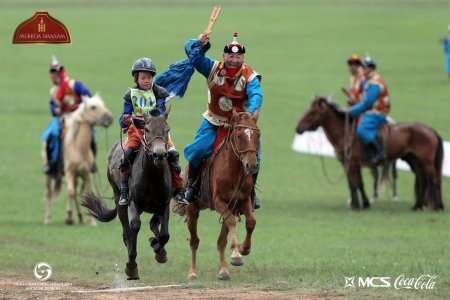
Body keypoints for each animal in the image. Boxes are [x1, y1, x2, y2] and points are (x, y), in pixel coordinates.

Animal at [43, 94, 114, 225]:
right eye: (93, 107)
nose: (109, 118)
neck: (79, 148)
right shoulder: (69, 172)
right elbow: (71, 193)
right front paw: (69, 217)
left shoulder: (87, 174)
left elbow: (85, 194)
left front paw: (92, 221)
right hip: (49, 177)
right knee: (50, 194)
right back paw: (48, 219)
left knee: (75, 192)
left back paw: (80, 217)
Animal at [81, 109, 172, 280]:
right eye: (147, 129)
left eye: (167, 129)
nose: (159, 154)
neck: (152, 176)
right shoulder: (134, 202)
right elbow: (134, 226)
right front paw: (131, 265)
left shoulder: (164, 204)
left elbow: (164, 235)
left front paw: (158, 250)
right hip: (118, 196)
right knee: (125, 226)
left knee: (153, 223)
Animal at [184, 110, 260, 282]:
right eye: (239, 135)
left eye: (258, 135)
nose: (252, 165)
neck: (233, 171)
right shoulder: (219, 202)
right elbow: (232, 221)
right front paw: (237, 255)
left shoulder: (243, 201)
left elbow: (251, 222)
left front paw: (243, 249)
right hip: (192, 209)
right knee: (194, 241)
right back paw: (192, 272)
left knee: (221, 242)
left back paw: (224, 271)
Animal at [296, 96, 442, 211]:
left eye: (312, 112)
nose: (298, 128)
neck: (345, 133)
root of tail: (431, 130)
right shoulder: (349, 164)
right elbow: (357, 183)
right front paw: (364, 204)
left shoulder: (352, 163)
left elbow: (354, 183)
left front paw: (356, 206)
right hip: (415, 161)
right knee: (422, 180)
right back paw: (417, 206)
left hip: (426, 162)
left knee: (434, 179)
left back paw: (438, 207)